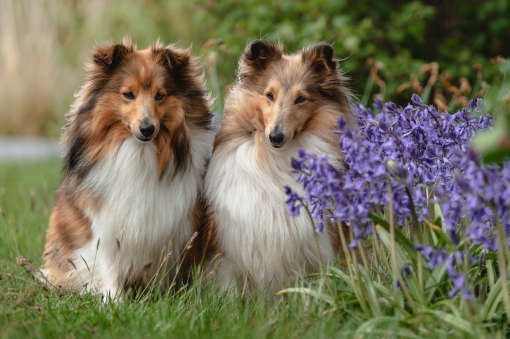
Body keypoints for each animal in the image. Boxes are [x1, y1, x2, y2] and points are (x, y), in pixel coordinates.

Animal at [41, 40, 213, 300]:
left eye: (160, 95)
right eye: (128, 94)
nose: (147, 129)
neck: (139, 152)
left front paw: (160, 297)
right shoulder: (104, 224)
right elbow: (107, 264)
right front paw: (114, 301)